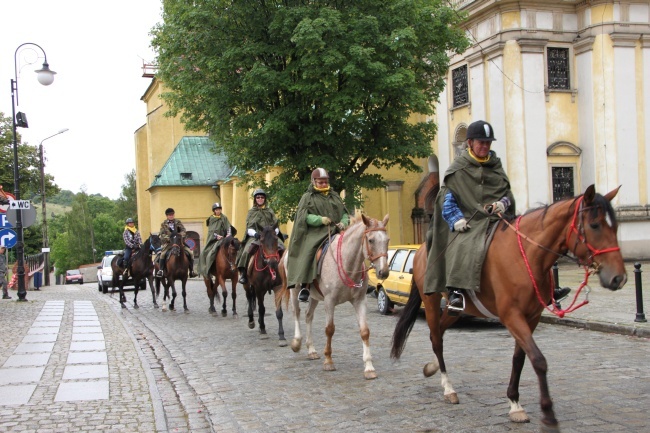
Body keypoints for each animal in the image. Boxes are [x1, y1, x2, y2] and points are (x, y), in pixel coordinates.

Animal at [278, 213, 390, 378]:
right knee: (296, 312)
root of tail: (287, 252)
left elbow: (364, 331)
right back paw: (297, 342)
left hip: (314, 296)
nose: (383, 272)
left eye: (387, 240)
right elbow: (330, 329)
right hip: (295, 289)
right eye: (371, 240)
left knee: (308, 315)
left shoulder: (359, 300)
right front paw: (328, 361)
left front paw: (369, 367)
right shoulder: (329, 301)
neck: (347, 262)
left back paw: (311, 349)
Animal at [388, 184, 624, 430]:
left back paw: (432, 367)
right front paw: (548, 415)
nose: (619, 278)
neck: (526, 255)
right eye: (594, 225)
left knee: (440, 333)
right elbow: (538, 360)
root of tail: (421, 249)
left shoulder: (531, 317)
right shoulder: (511, 315)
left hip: (459, 309)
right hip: (432, 301)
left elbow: (520, 358)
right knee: (436, 338)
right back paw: (448, 387)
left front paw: (514, 403)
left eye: (615, 226)